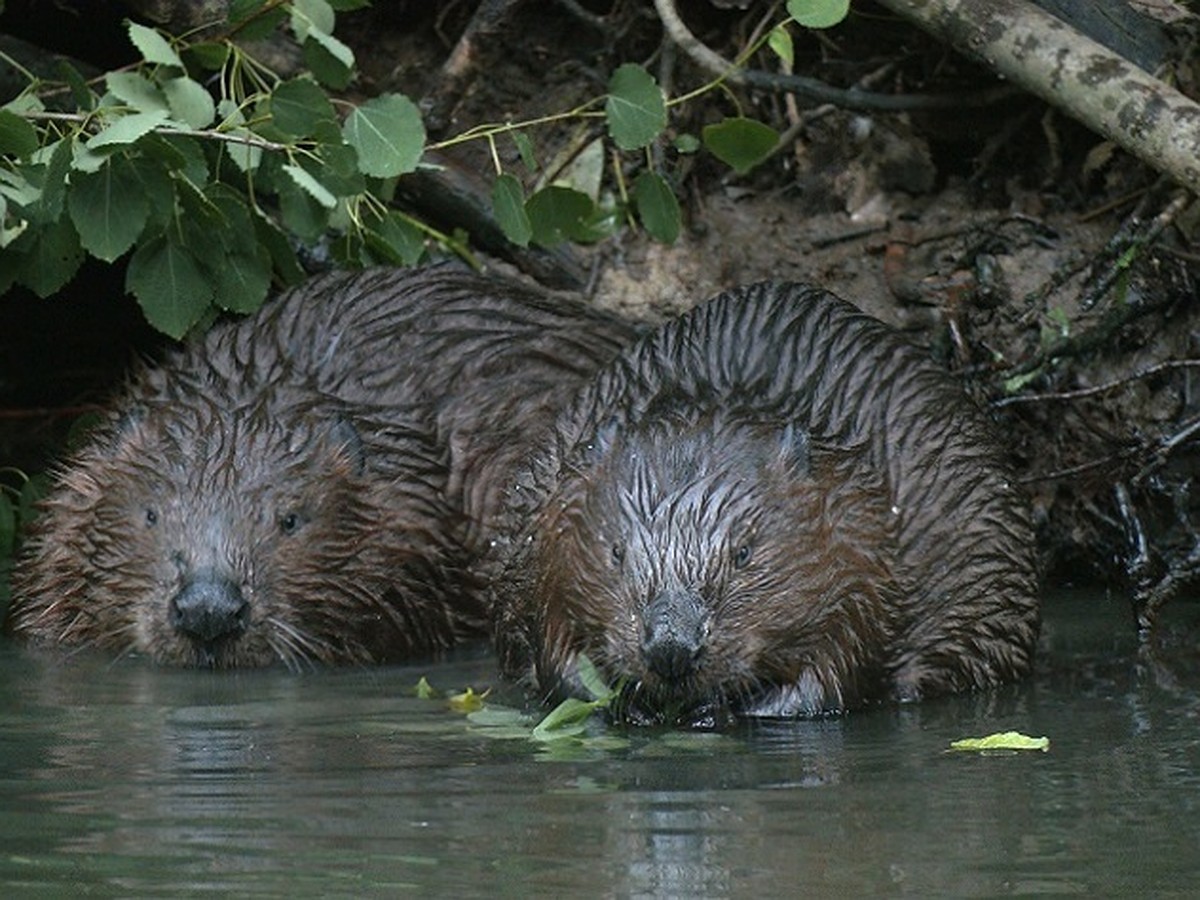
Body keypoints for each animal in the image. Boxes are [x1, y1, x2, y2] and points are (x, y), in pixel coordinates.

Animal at [489, 282, 1041, 724]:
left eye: (744, 555)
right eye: (616, 552)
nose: (671, 648)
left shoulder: (862, 540)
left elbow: (841, 665)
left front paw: (718, 710)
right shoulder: (546, 524)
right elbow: (551, 646)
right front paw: (630, 705)